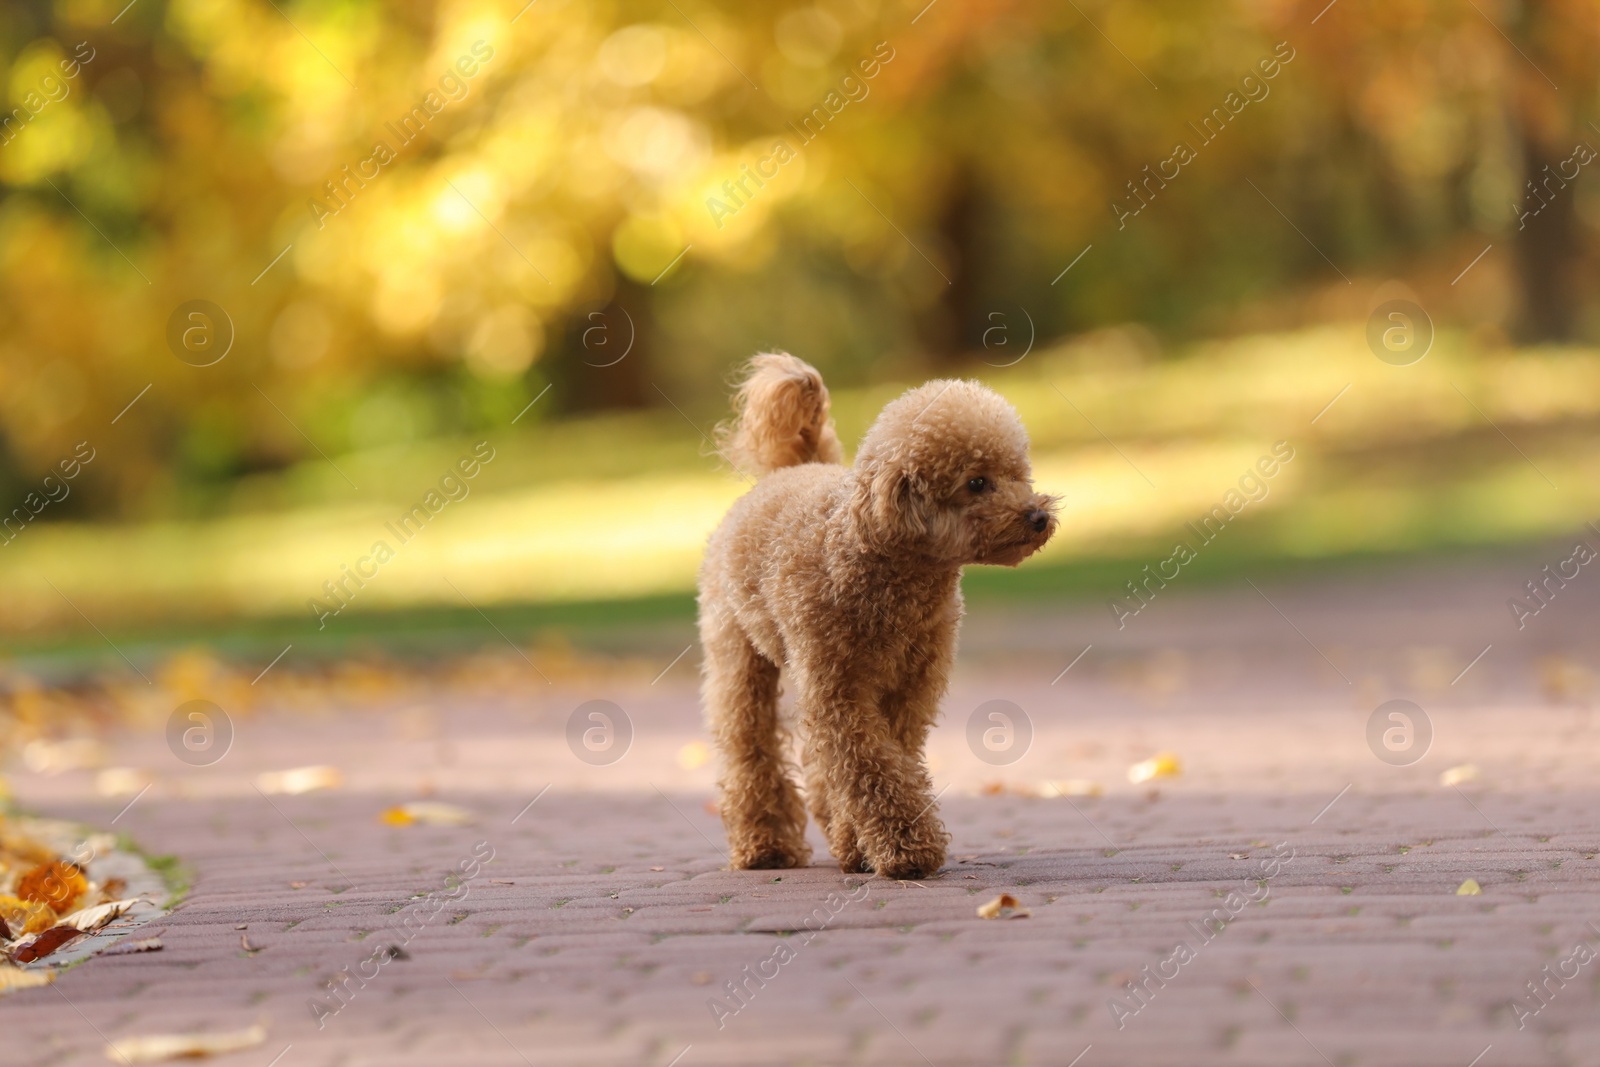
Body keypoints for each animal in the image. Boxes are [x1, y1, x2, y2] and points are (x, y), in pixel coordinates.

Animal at [697, 355, 1049, 883]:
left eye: (1017, 474)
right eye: (976, 483)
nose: (1038, 516)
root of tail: (792, 470)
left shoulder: (908, 691)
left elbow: (885, 762)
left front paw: (862, 844)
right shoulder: (839, 692)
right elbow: (870, 768)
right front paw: (907, 851)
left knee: (816, 762)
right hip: (738, 655)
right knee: (749, 746)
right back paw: (765, 846)